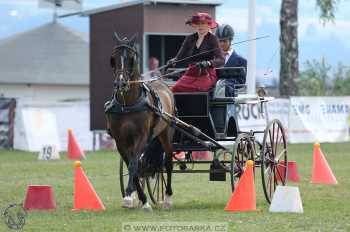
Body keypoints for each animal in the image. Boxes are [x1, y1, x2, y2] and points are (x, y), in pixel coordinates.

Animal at [104, 33, 175, 212]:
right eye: (113, 59)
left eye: (131, 59)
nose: (120, 83)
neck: (127, 104)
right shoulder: (120, 141)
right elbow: (133, 167)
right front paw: (138, 199)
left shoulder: (141, 137)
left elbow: (134, 165)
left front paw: (130, 194)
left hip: (166, 133)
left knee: (168, 163)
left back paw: (168, 198)